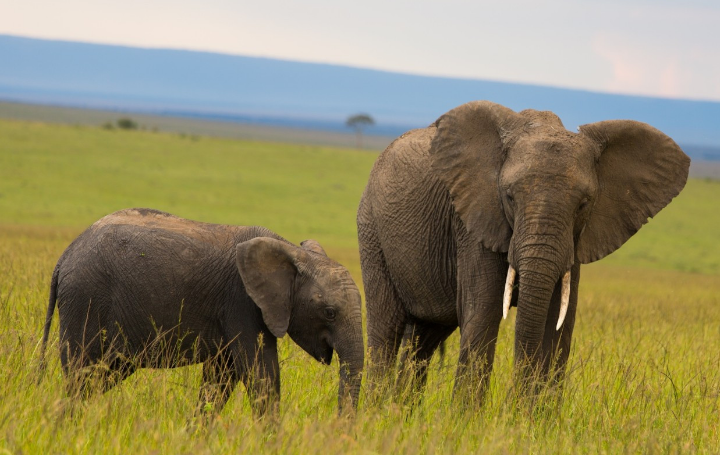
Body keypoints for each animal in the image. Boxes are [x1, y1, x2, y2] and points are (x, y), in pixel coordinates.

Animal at [40, 209, 366, 416]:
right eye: (329, 312)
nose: (338, 426)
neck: (292, 253)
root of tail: (64, 257)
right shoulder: (241, 301)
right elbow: (260, 374)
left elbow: (221, 378)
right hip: (85, 300)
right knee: (81, 374)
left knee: (100, 376)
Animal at [360, 101, 692, 404]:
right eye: (509, 196)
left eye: (583, 204)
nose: (512, 402)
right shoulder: (474, 224)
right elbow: (483, 315)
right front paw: (468, 422)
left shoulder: (575, 243)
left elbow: (558, 326)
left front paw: (536, 422)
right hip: (371, 230)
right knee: (386, 330)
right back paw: (377, 412)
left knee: (423, 340)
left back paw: (400, 411)